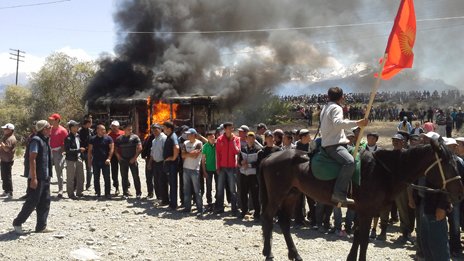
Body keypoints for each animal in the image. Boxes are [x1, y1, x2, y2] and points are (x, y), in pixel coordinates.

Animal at [260, 137, 462, 258]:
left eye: (455, 162)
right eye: (448, 164)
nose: (460, 192)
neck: (382, 171)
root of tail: (269, 157)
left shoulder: (363, 211)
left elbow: (357, 236)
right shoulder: (366, 212)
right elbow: (364, 241)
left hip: (291, 195)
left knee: (284, 222)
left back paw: (295, 254)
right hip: (278, 195)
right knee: (269, 217)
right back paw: (268, 252)